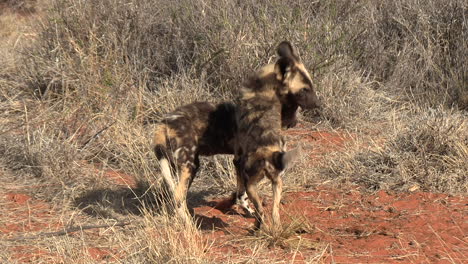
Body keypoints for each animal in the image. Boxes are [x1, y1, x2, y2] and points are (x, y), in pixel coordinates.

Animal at [234, 40, 318, 229]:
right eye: (304, 90)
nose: (318, 104)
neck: (266, 87)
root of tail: (268, 154)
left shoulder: (237, 160)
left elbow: (240, 193)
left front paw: (243, 206)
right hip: (277, 182)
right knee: (274, 212)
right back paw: (274, 229)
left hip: (253, 184)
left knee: (261, 212)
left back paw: (257, 227)